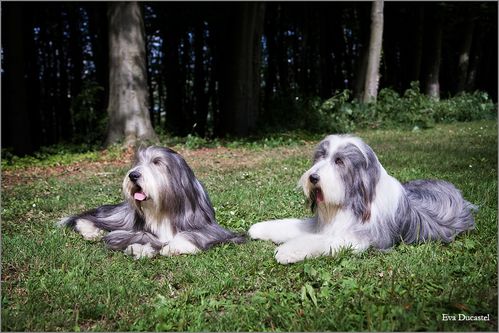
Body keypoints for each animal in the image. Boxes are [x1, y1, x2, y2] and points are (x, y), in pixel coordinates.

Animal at [61, 147, 245, 258]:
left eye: (157, 162)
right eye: (138, 162)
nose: (133, 175)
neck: (162, 209)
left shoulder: (212, 229)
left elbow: (193, 235)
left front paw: (172, 247)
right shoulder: (135, 229)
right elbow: (136, 235)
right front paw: (140, 248)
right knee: (90, 218)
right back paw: (91, 231)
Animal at [250, 134, 476, 264]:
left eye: (339, 161)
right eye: (321, 156)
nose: (313, 178)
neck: (353, 199)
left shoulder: (360, 238)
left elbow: (320, 241)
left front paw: (286, 251)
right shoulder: (321, 225)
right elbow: (291, 225)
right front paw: (259, 229)